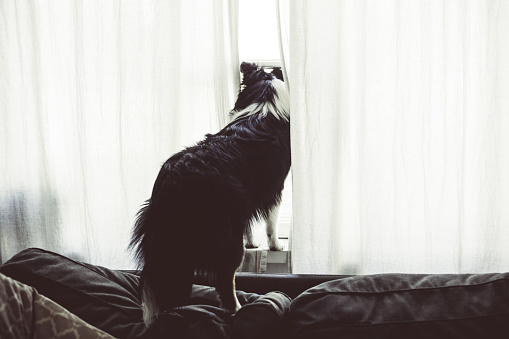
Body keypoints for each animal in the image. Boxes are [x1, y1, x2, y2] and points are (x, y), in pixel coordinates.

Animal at [129, 62, 290, 326]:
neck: (264, 99)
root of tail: (177, 176)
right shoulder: (275, 189)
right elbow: (271, 224)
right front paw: (275, 245)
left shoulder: (246, 200)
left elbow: (250, 226)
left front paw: (253, 242)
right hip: (226, 237)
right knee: (224, 280)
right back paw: (235, 308)